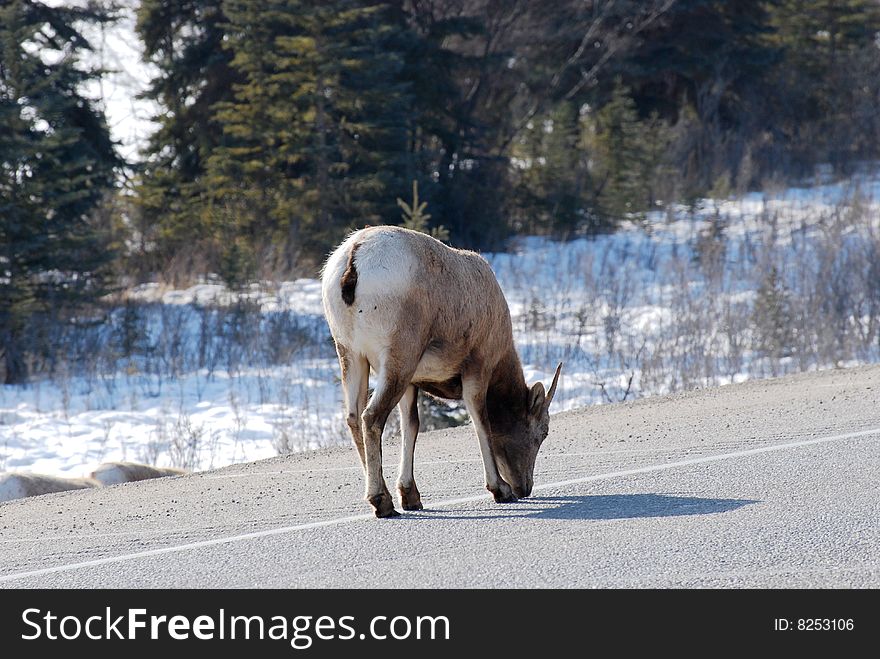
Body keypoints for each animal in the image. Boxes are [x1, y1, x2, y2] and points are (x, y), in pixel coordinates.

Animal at [324, 227, 564, 520]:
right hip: (398, 358)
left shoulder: (413, 383)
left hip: (351, 354)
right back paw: (382, 502)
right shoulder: (477, 368)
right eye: (543, 432)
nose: (524, 488)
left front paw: (411, 497)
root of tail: (353, 260)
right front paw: (500, 490)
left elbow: (411, 426)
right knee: (371, 416)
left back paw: (386, 497)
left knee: (353, 417)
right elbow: (480, 422)